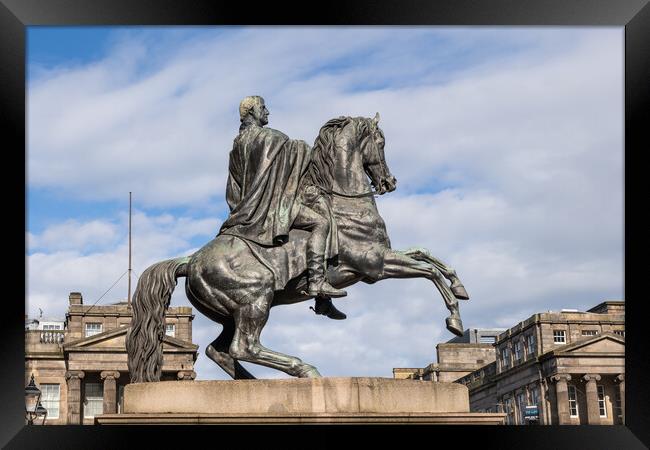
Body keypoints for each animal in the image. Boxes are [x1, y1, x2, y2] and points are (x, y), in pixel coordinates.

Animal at [126, 114, 468, 382]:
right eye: (381, 142)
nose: (390, 182)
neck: (344, 202)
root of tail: (190, 260)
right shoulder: (376, 265)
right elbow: (428, 271)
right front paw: (454, 320)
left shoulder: (382, 258)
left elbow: (428, 255)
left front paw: (460, 287)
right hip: (255, 298)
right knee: (244, 346)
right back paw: (303, 369)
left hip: (230, 312)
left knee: (220, 350)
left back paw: (252, 381)